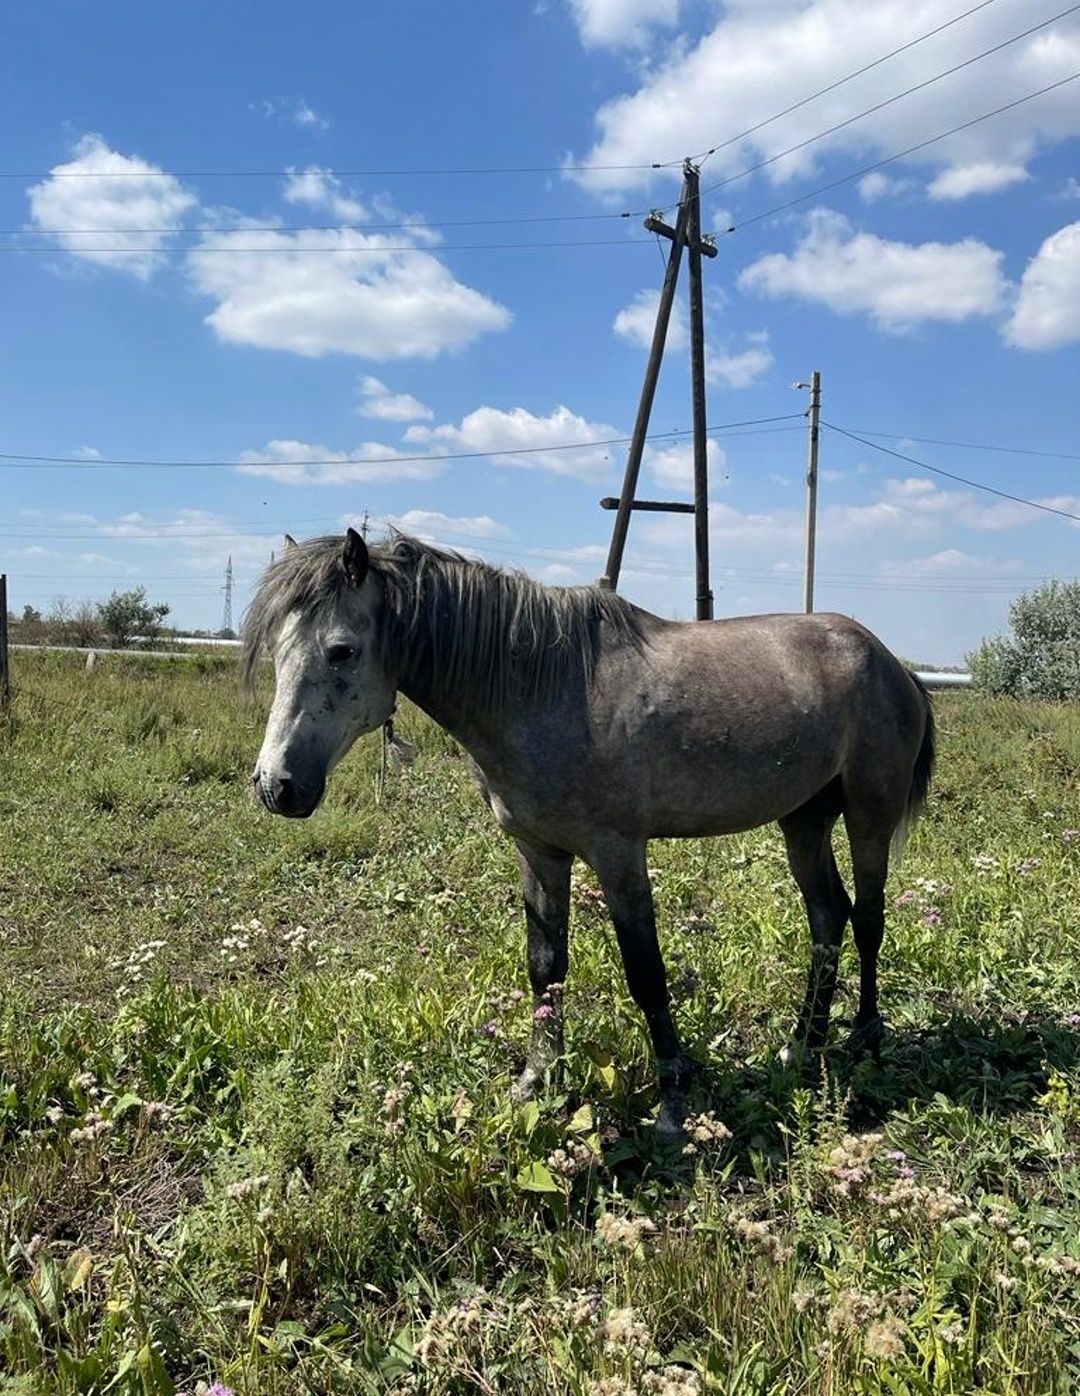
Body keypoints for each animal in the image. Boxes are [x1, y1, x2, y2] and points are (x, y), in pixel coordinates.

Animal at [246, 527, 937, 1139]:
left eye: (340, 650)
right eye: (277, 649)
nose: (277, 786)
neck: (543, 689)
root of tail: (892, 664)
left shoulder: (618, 854)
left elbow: (646, 971)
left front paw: (672, 1099)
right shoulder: (540, 853)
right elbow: (545, 967)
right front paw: (536, 1081)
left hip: (869, 814)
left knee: (868, 916)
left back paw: (863, 1037)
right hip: (804, 819)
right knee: (828, 915)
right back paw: (803, 1044)